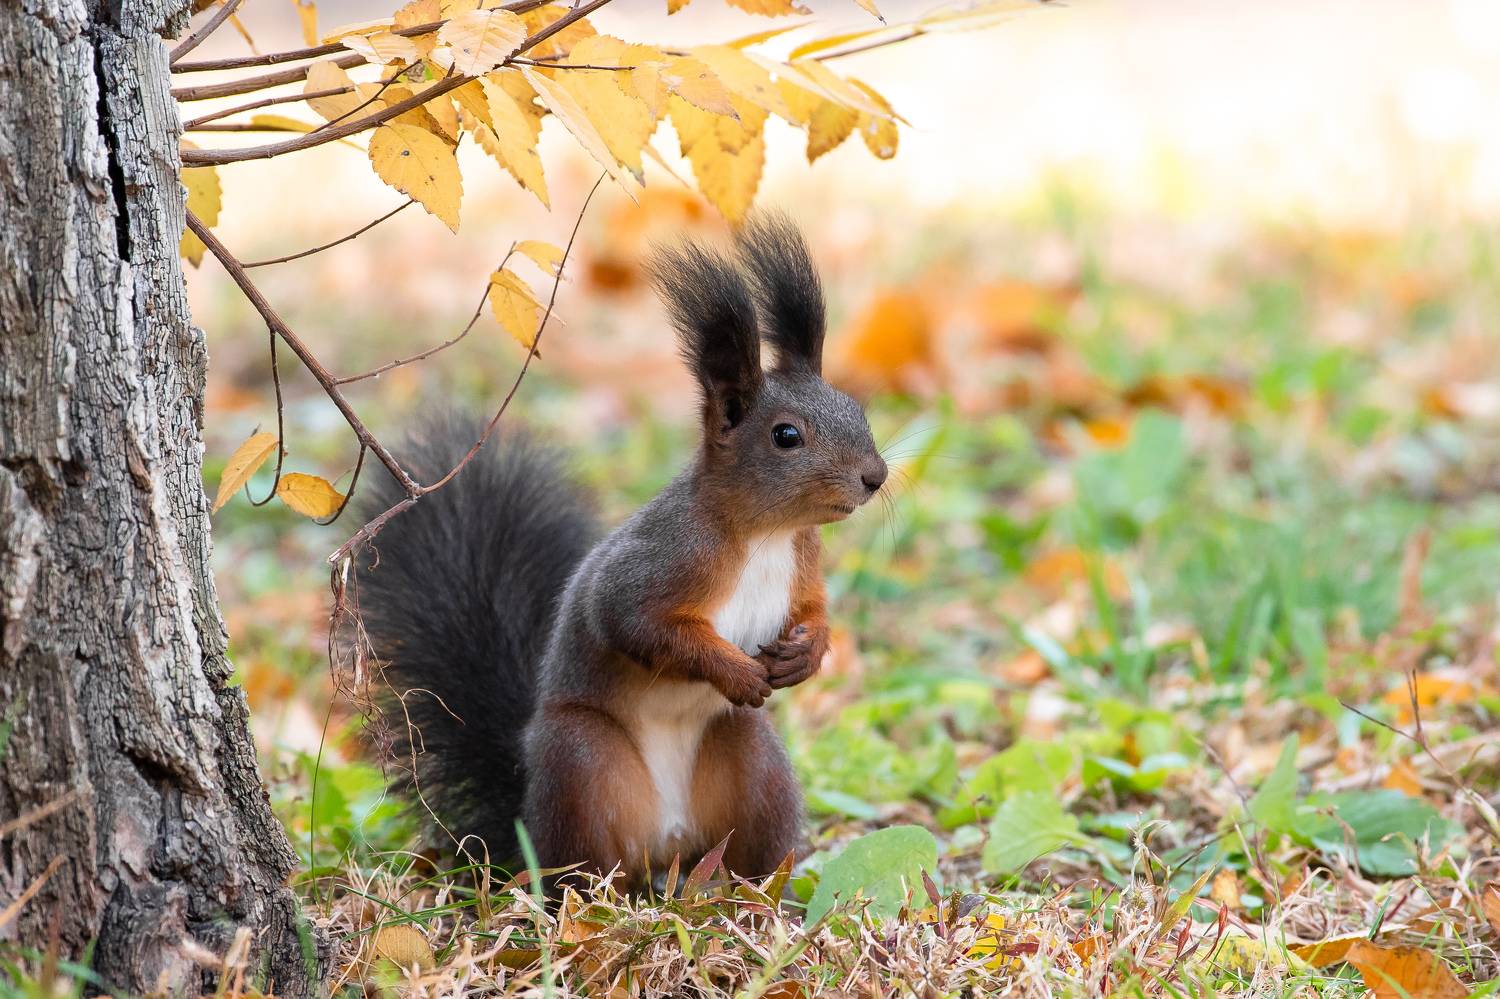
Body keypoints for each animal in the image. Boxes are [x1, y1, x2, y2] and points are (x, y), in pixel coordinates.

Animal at [354, 215, 888, 886]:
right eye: (786, 436)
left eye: (857, 409)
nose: (875, 477)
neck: (766, 535)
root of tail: (667, 845)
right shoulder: (659, 561)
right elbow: (639, 624)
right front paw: (734, 670)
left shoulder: (804, 562)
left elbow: (813, 610)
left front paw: (807, 653)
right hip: (584, 764)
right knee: (582, 868)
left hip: (752, 760)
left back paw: (755, 893)